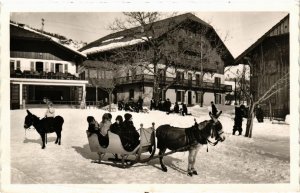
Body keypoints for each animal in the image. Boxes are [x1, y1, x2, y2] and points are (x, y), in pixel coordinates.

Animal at [86, 111, 225, 176]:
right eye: (218, 126)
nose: (223, 138)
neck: (198, 133)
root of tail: (157, 128)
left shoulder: (196, 149)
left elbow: (194, 160)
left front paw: (193, 170)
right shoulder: (192, 148)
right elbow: (191, 160)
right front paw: (190, 172)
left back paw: (118, 159)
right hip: (163, 145)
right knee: (161, 156)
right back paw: (163, 168)